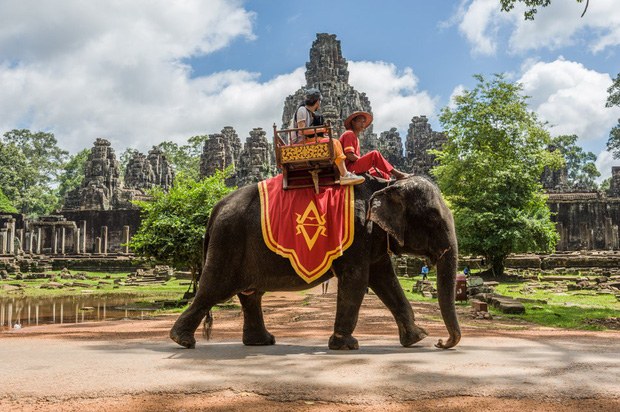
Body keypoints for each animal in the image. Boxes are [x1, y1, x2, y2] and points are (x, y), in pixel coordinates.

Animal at [170, 175, 460, 350]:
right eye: (433, 218)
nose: (441, 342)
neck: (386, 183)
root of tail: (215, 208)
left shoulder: (372, 237)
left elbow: (385, 280)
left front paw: (416, 338)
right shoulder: (356, 234)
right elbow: (356, 279)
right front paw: (346, 345)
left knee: (250, 295)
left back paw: (262, 342)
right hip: (227, 242)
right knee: (213, 289)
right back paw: (182, 340)